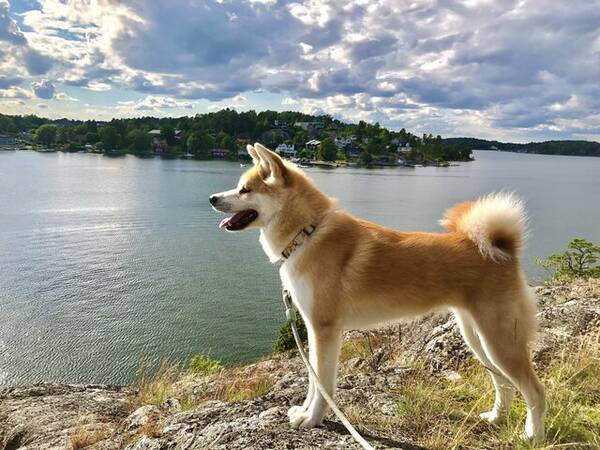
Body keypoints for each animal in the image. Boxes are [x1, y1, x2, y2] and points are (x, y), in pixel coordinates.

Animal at [209, 144, 548, 442]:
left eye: (244, 190)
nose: (212, 198)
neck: (307, 234)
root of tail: (503, 250)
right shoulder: (313, 330)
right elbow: (313, 381)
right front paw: (305, 412)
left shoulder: (325, 330)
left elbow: (323, 385)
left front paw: (313, 418)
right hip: (477, 337)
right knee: (504, 384)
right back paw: (496, 418)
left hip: (499, 340)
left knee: (534, 390)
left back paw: (533, 435)